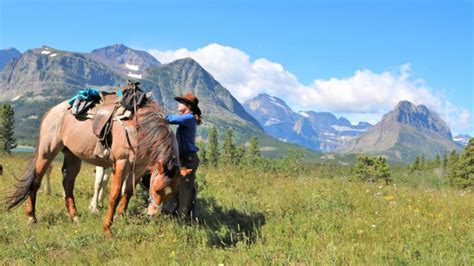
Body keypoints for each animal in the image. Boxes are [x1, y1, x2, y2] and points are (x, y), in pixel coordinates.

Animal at [6, 87, 189, 235]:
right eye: (157, 189)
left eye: (172, 193)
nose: (152, 215)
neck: (140, 129)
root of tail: (52, 111)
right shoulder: (121, 164)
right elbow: (114, 195)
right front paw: (107, 228)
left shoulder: (139, 168)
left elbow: (128, 192)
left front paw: (120, 216)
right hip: (47, 152)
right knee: (36, 181)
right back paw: (32, 217)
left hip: (72, 156)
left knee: (67, 183)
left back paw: (75, 217)